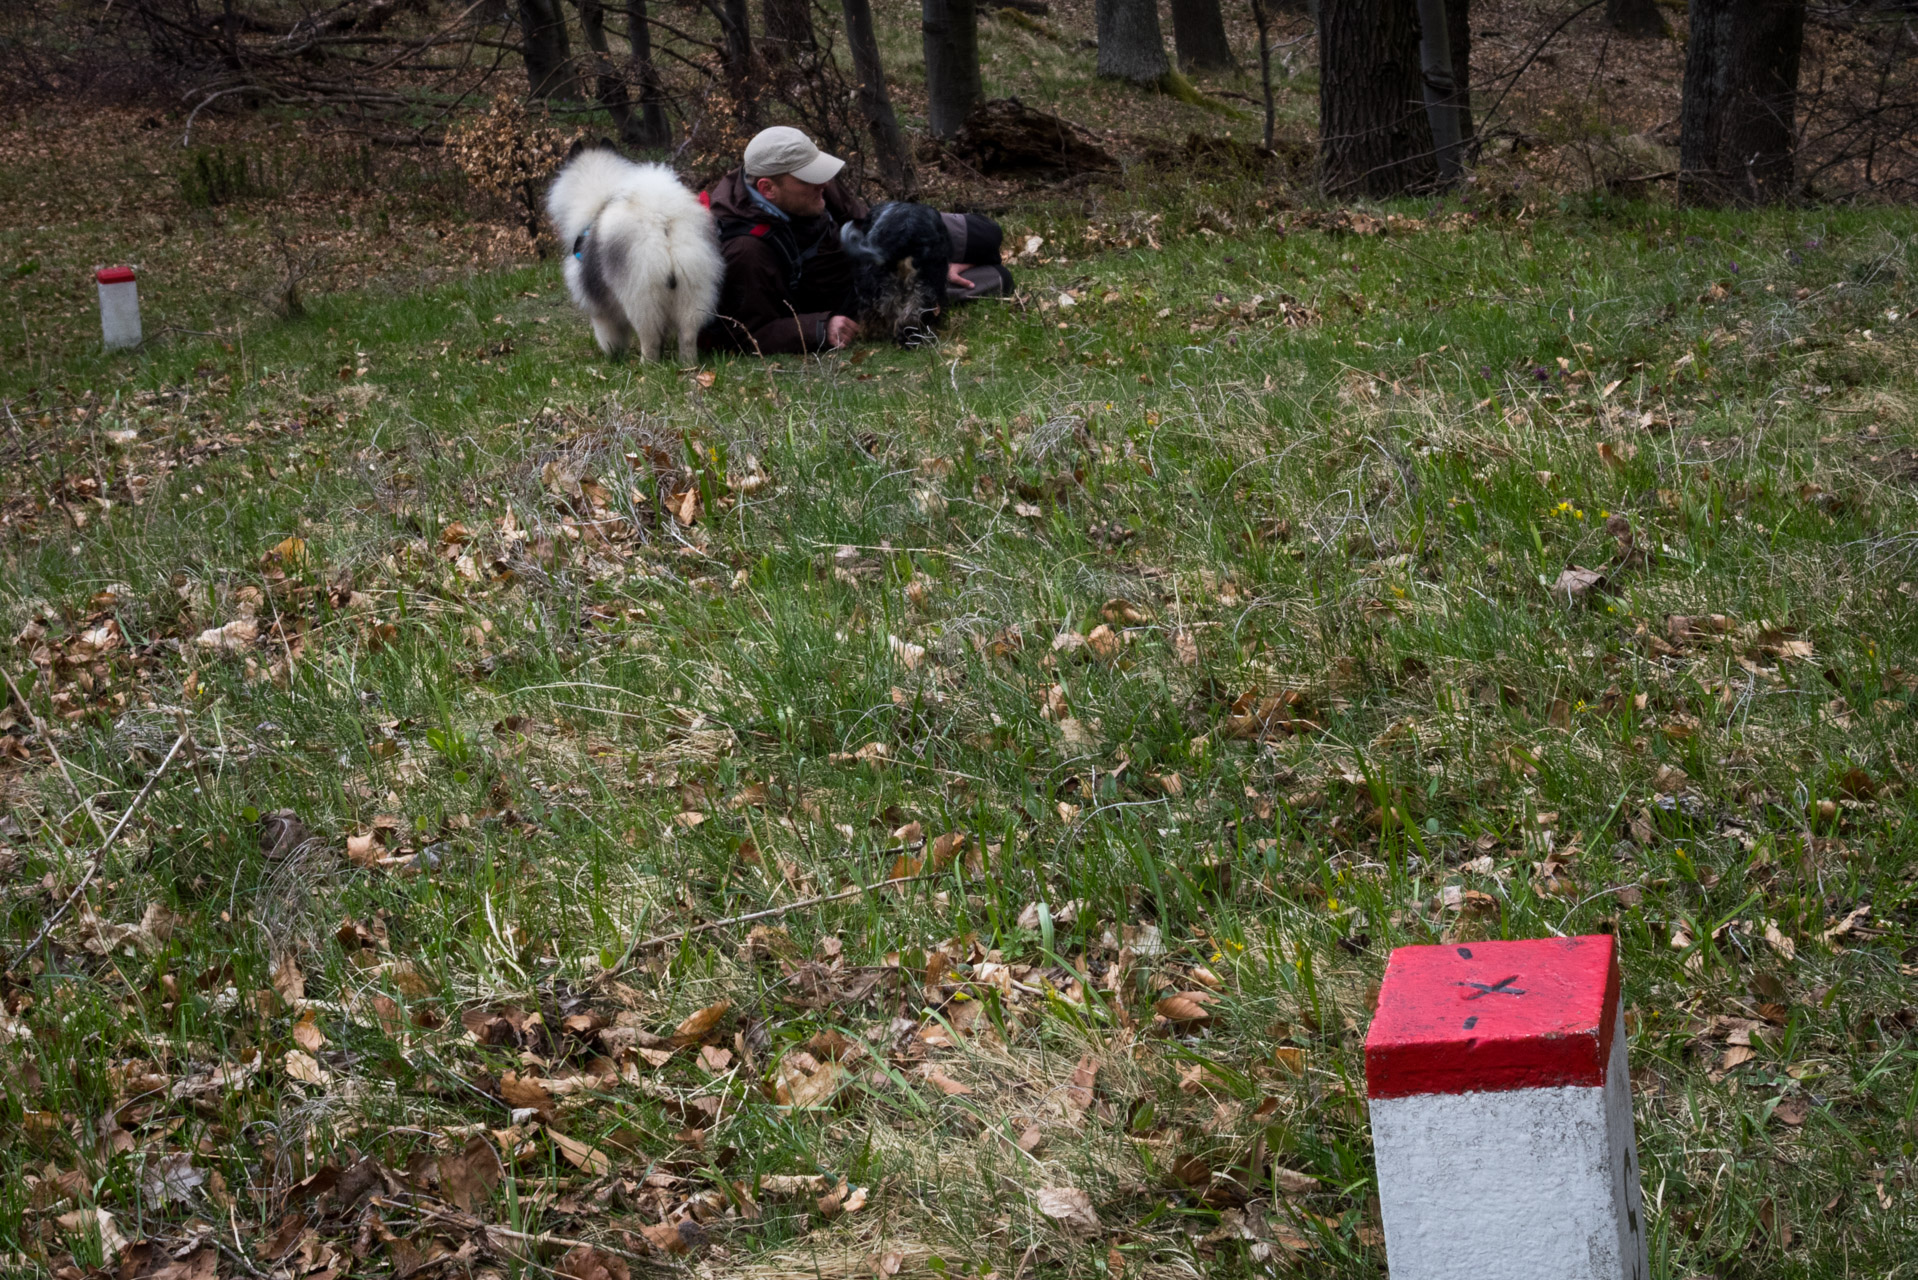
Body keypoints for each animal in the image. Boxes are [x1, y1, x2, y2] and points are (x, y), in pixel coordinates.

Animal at [544, 142, 721, 362]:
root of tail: (661, 222)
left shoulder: (600, 310)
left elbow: (608, 337)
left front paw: (613, 357)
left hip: (640, 296)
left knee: (649, 337)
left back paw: (647, 364)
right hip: (692, 291)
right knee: (688, 335)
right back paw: (687, 363)